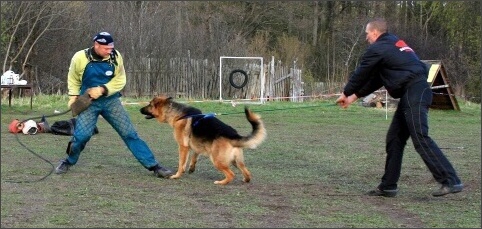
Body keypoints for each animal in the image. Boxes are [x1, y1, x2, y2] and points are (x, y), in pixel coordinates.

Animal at [139, 95, 268, 184]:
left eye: (150, 104)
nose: (140, 110)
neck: (177, 114)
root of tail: (234, 135)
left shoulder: (183, 147)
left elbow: (181, 163)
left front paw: (177, 175)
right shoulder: (195, 145)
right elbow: (194, 157)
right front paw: (191, 168)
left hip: (216, 160)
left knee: (231, 174)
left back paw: (221, 182)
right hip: (236, 161)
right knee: (247, 174)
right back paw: (244, 180)